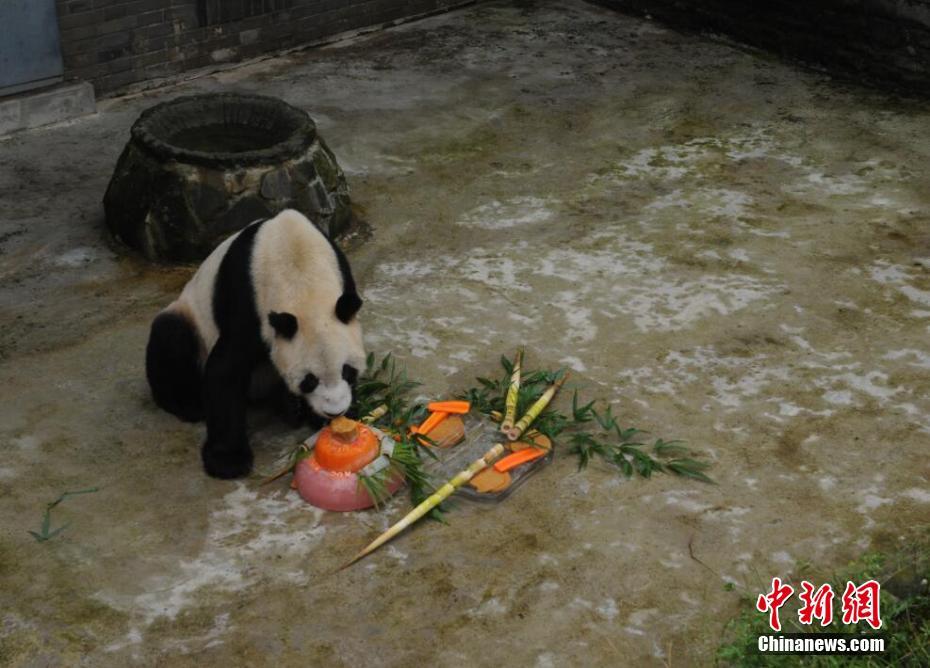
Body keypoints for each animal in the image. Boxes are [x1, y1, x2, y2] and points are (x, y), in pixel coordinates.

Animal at [145, 209, 365, 479]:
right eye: (309, 380)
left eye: (348, 371)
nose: (335, 411)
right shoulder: (249, 302)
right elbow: (225, 370)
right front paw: (228, 460)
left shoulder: (342, 277)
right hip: (190, 318)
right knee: (171, 338)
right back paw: (189, 405)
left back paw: (290, 408)